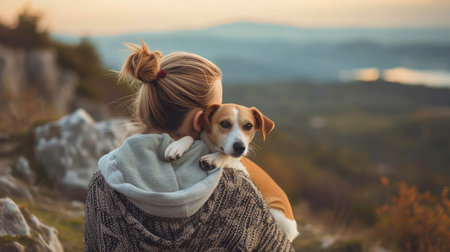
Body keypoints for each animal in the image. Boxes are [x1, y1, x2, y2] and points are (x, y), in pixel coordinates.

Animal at [164, 103, 298, 241]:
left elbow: (226, 156)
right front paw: (178, 145)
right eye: (224, 123)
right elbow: (192, 137)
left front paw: (215, 158)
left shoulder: (241, 167)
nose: (240, 147)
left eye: (248, 126)